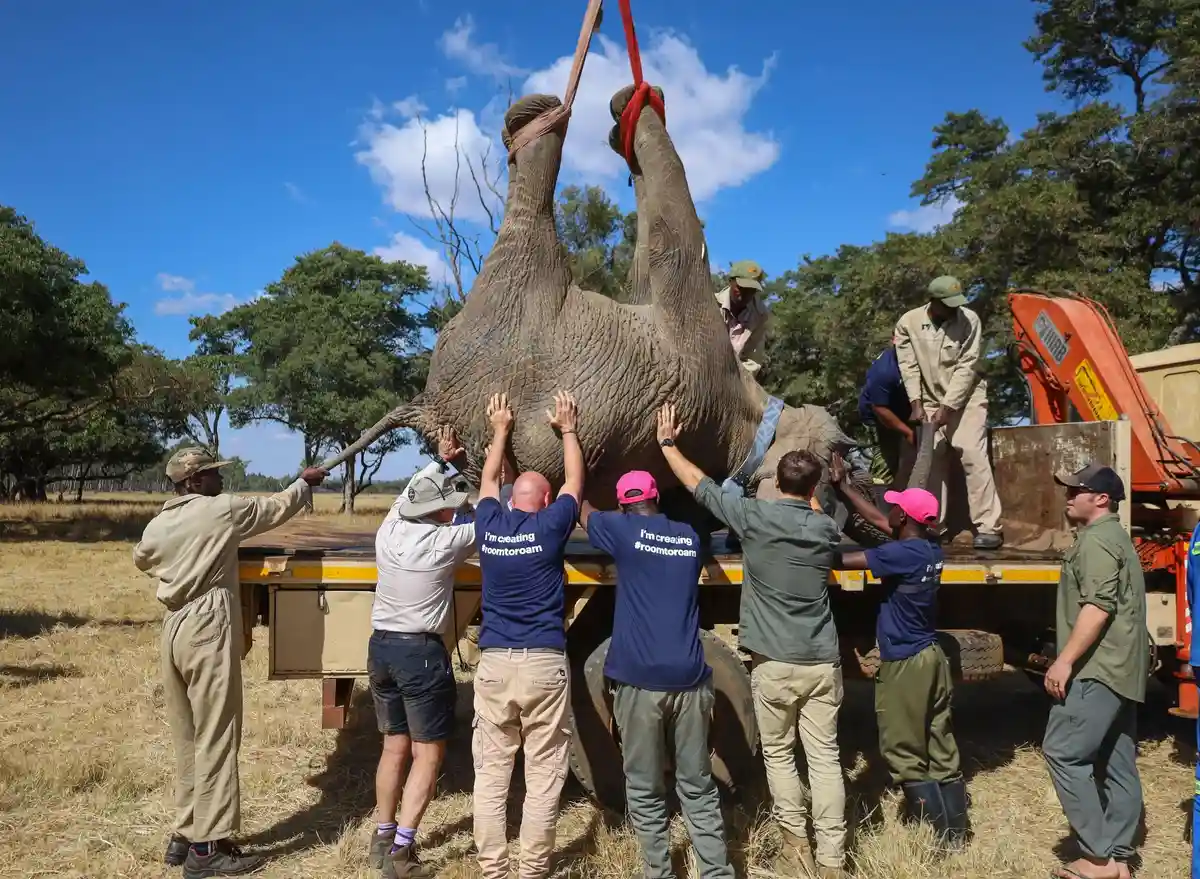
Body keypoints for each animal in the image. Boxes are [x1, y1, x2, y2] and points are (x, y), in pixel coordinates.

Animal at [319, 87, 883, 542]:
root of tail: (427, 404)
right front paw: (630, 112)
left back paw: (531, 121)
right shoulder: (701, 345)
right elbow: (668, 247)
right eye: (843, 460)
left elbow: (668, 245)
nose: (859, 473)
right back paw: (541, 117)